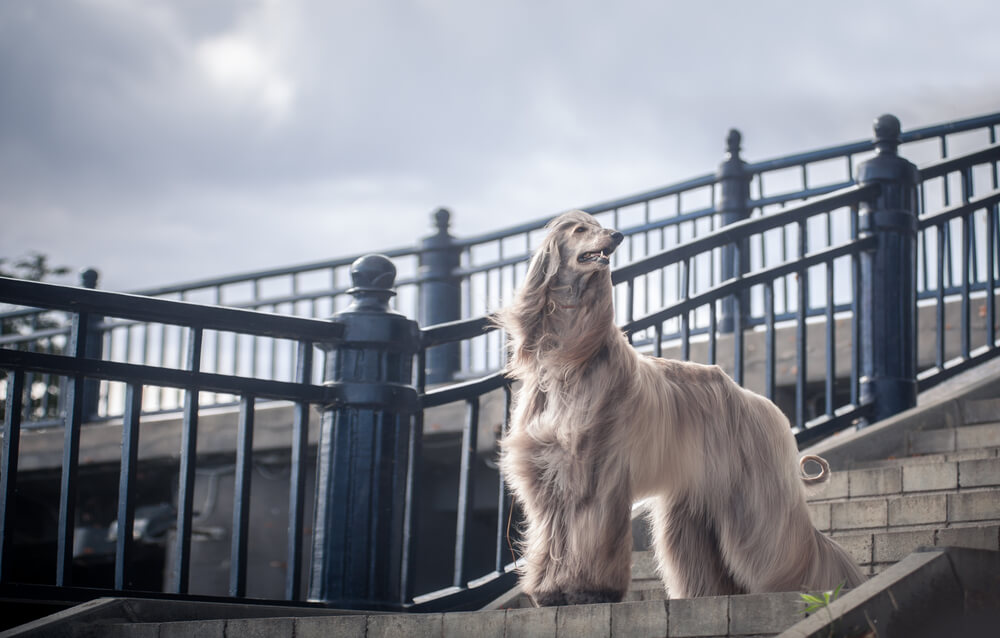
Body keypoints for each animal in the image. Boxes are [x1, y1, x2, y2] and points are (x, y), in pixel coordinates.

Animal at [496, 211, 864, 608]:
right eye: (580, 229)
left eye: (599, 225)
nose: (617, 235)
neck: (569, 358)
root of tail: (758, 400)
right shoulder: (548, 472)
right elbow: (551, 537)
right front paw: (550, 592)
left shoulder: (595, 473)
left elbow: (588, 534)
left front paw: (590, 591)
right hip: (699, 495)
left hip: (755, 493)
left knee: (790, 542)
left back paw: (820, 584)